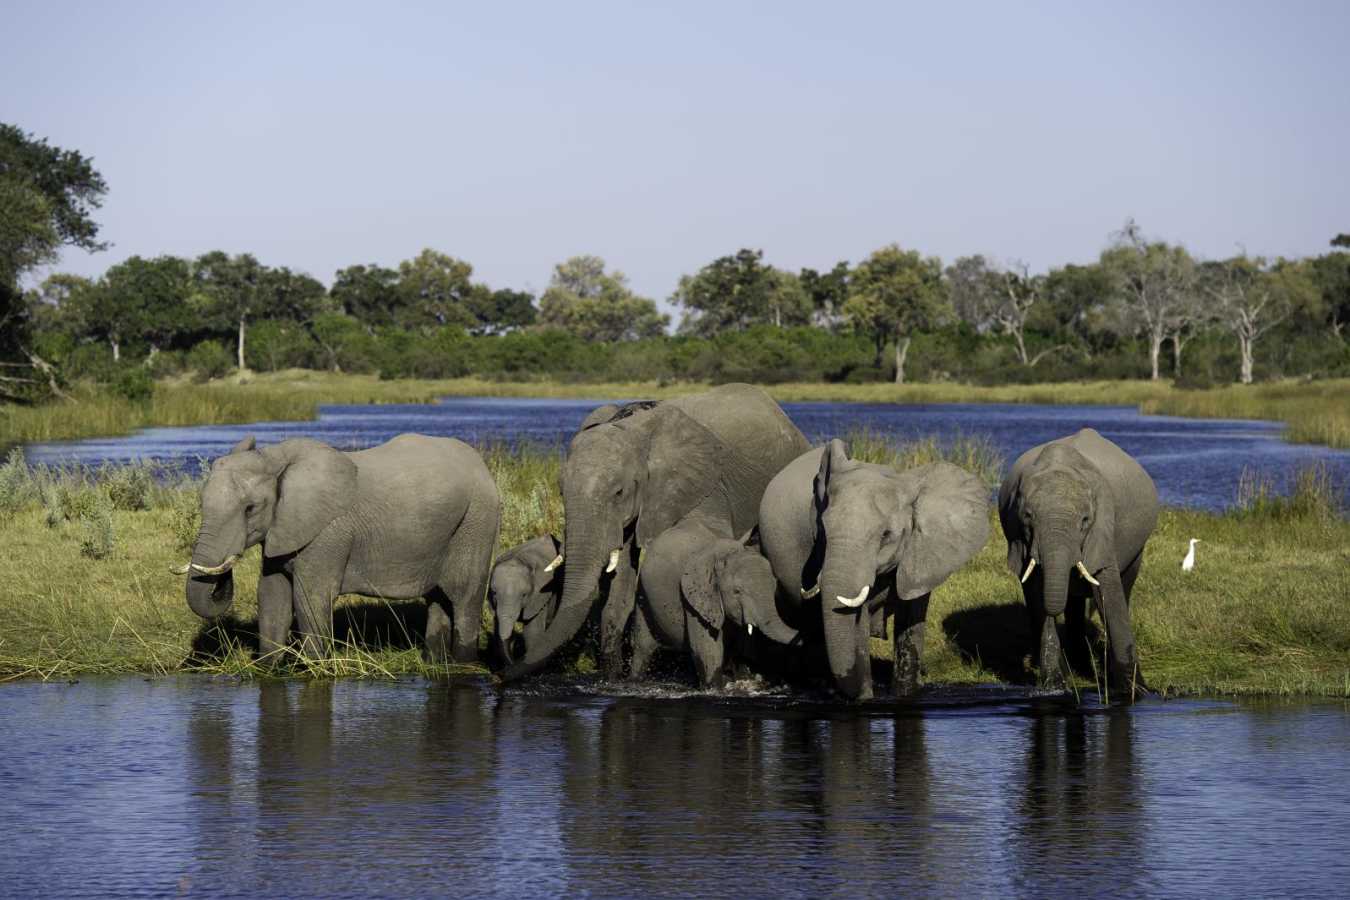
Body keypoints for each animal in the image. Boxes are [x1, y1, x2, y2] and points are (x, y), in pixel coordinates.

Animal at [176, 433, 500, 664]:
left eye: (250, 509)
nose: (221, 578)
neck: (274, 456)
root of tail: (482, 465)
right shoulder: (283, 530)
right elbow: (271, 595)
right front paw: (267, 668)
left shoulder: (328, 533)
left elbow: (309, 597)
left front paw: (316, 668)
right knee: (438, 597)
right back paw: (434, 662)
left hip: (477, 520)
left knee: (464, 595)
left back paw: (463, 663)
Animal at [489, 534, 564, 666]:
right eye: (494, 593)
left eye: (524, 595)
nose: (513, 663)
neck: (520, 558)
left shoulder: (539, 596)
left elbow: (532, 633)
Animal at [631, 519, 798, 687]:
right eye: (737, 591)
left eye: (775, 588)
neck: (727, 555)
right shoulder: (695, 600)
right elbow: (707, 650)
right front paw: (715, 687)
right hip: (642, 594)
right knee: (642, 648)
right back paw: (636, 679)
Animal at [758, 440, 990, 700]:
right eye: (822, 532)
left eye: (886, 535)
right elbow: (857, 621)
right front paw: (864, 698)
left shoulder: (922, 553)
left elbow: (911, 615)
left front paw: (903, 694)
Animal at [998, 427, 1158, 700]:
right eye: (1028, 516)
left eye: (1084, 521)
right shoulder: (1019, 534)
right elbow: (1036, 593)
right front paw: (1053, 687)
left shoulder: (1104, 526)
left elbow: (1108, 591)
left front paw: (1135, 691)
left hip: (1137, 549)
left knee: (1124, 587)